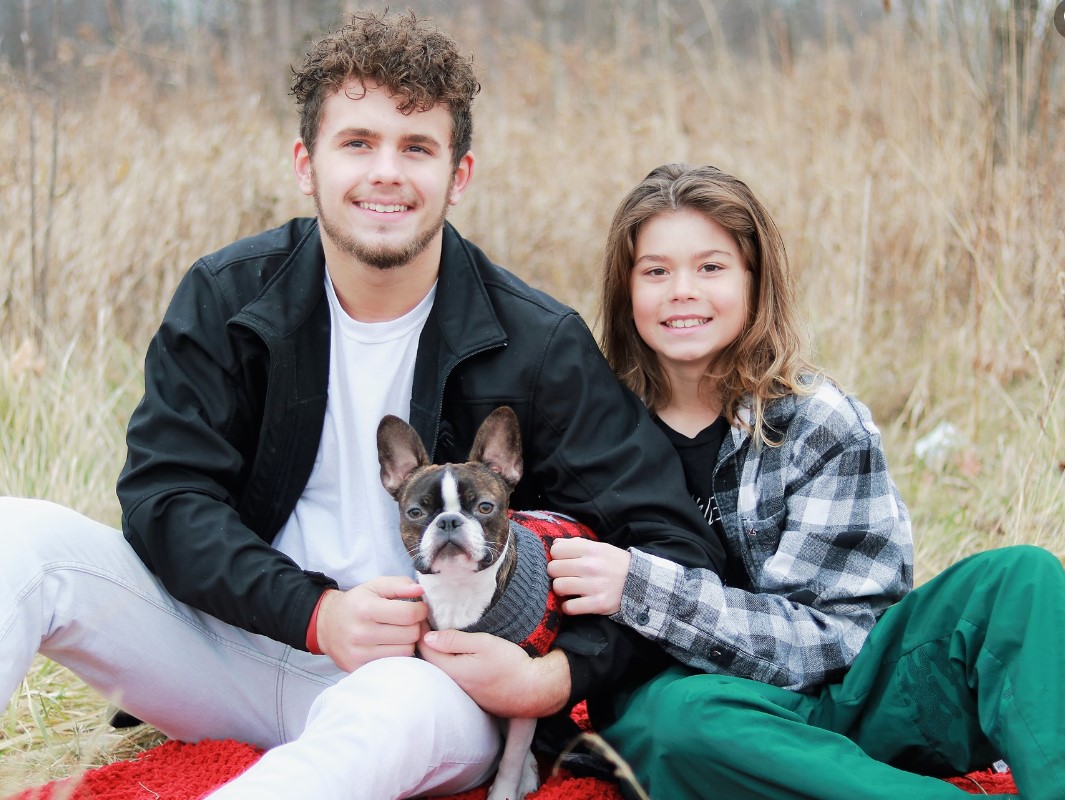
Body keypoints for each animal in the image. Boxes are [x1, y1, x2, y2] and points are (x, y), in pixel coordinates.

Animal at [372, 406, 592, 800]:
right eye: (415, 513)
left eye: (485, 507)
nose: (448, 521)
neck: (459, 589)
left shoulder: (521, 688)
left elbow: (512, 754)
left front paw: (505, 788)